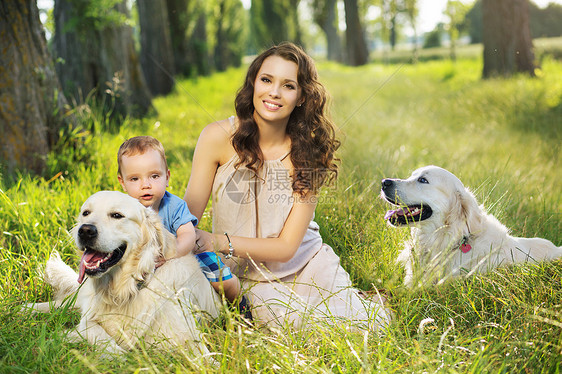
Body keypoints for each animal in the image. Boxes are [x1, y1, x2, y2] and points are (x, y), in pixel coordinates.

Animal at [26, 193, 220, 356]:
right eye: (86, 213)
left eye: (117, 215)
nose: (85, 230)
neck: (125, 289)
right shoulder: (88, 321)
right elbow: (100, 335)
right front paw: (119, 356)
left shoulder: (186, 335)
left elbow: (206, 359)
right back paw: (26, 309)